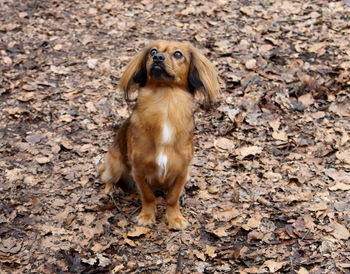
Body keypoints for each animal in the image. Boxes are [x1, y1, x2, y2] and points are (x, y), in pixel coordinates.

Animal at [98, 40, 219, 229]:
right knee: (108, 175)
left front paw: (175, 218)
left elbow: (172, 197)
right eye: (153, 52)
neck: (165, 102)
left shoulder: (182, 170)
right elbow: (148, 196)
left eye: (178, 54)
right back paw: (112, 188)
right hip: (116, 163)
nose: (158, 58)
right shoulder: (138, 169)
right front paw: (147, 216)